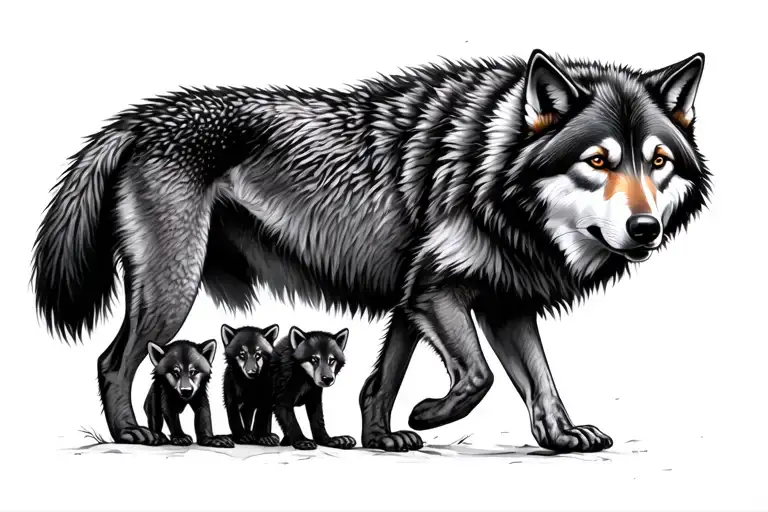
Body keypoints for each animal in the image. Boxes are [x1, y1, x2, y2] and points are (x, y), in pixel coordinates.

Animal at [32, 48, 709, 452]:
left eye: (658, 162)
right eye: (598, 161)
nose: (645, 228)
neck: (489, 174)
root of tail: (140, 118)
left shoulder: (480, 302)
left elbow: (521, 380)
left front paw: (556, 436)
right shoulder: (436, 293)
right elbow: (479, 377)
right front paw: (427, 416)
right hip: (174, 287)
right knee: (113, 361)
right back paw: (131, 432)